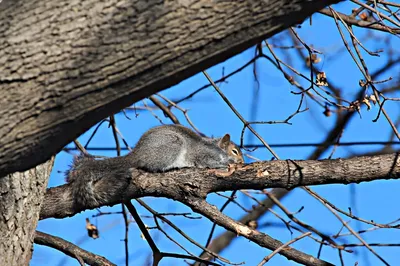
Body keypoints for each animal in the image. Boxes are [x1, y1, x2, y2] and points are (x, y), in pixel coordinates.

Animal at [65, 123, 244, 209]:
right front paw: (226, 166)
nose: (242, 162)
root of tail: (137, 154)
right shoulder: (205, 155)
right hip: (171, 146)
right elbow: (208, 163)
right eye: (235, 151)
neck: (216, 148)